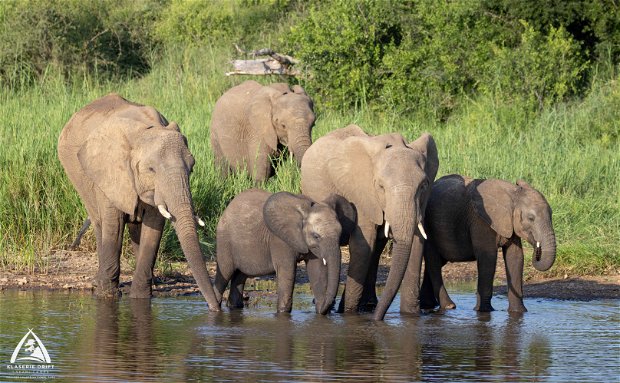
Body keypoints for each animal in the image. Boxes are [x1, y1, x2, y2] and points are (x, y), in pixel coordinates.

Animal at [56, 94, 220, 312]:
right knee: (100, 223)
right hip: (78, 174)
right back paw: (98, 283)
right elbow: (114, 225)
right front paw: (106, 297)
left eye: (191, 168)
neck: (146, 130)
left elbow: (153, 229)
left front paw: (140, 298)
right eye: (151, 169)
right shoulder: (111, 172)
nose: (216, 307)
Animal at [213, 190, 356, 316]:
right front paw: (283, 314)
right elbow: (288, 272)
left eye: (340, 234)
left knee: (240, 276)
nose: (325, 309)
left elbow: (317, 271)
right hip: (224, 240)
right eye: (316, 236)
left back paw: (234, 307)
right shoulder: (279, 240)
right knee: (225, 272)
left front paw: (320, 312)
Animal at [300, 126, 436, 320]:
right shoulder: (361, 192)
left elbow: (417, 244)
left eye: (423, 185)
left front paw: (410, 316)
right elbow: (362, 246)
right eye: (380, 187)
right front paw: (348, 314)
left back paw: (368, 306)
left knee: (377, 248)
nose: (377, 320)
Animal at [418, 176, 560, 314]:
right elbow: (488, 258)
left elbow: (515, 257)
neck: (512, 194)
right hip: (429, 228)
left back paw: (428, 305)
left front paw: (519, 312)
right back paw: (448, 306)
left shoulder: (509, 223)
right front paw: (485, 311)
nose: (537, 250)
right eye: (531, 218)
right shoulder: (482, 221)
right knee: (434, 262)